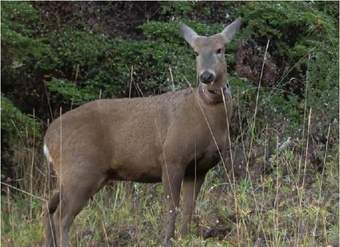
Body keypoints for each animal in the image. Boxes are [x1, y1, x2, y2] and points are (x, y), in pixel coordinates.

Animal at [43, 18, 242, 246]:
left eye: (220, 49)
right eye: (196, 52)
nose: (206, 76)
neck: (205, 115)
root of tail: (48, 139)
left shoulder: (199, 168)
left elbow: (189, 207)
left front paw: (184, 237)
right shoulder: (172, 157)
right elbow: (172, 206)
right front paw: (167, 240)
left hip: (73, 175)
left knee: (49, 208)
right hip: (81, 170)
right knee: (61, 217)